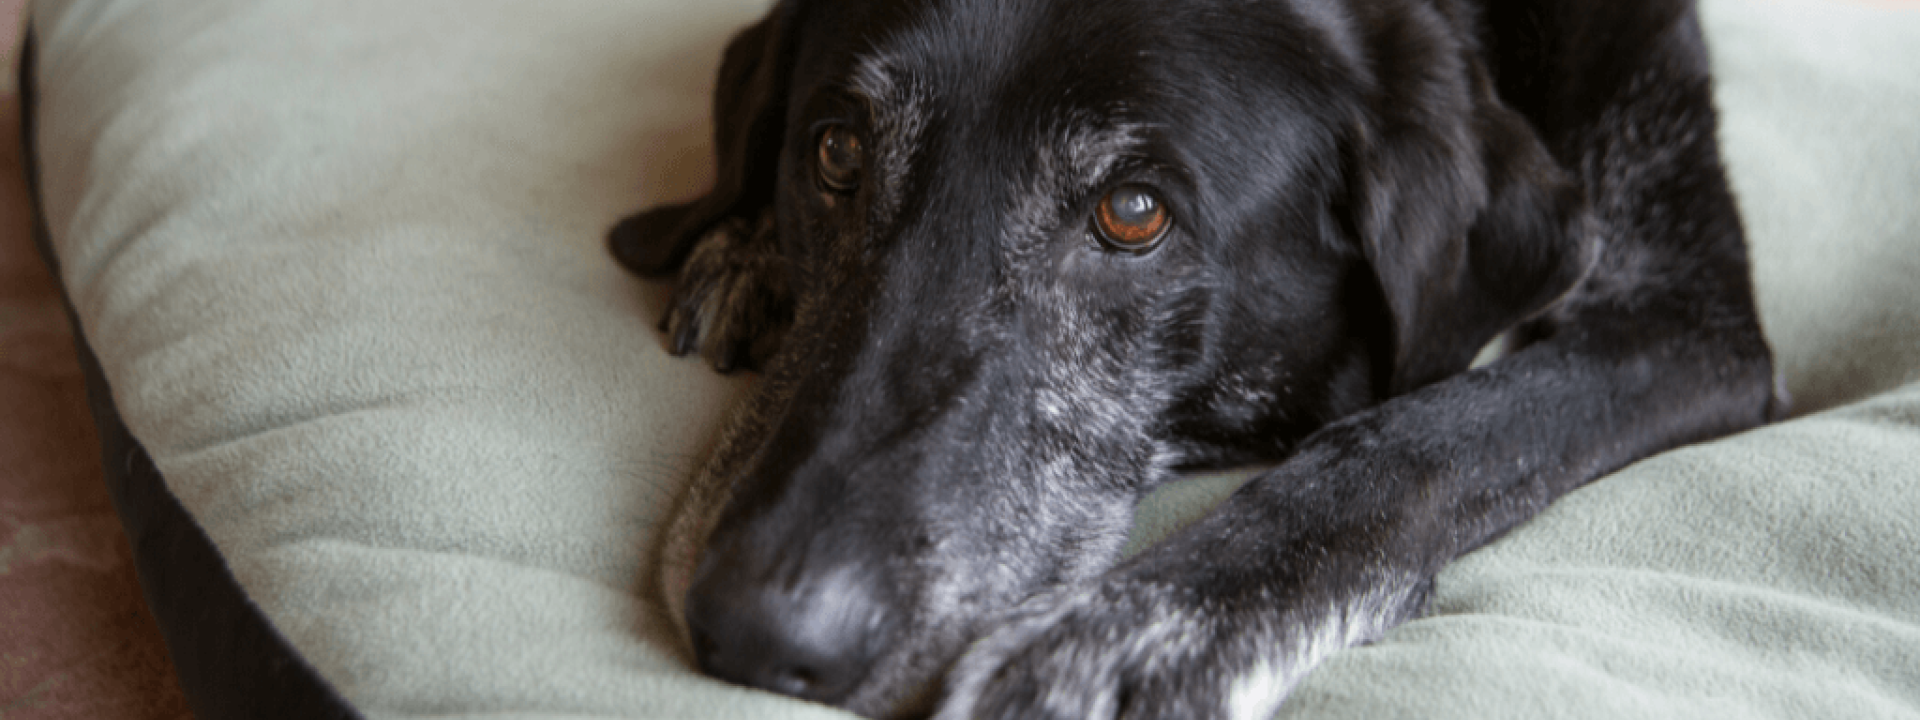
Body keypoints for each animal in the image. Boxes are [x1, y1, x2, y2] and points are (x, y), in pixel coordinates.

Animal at [606, 2, 1774, 718]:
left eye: (1133, 213)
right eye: (837, 151)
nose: (757, 631)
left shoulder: (1690, 324)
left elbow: (1419, 439)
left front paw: (1127, 640)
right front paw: (743, 242)